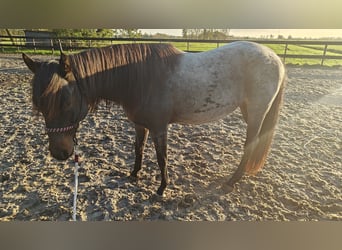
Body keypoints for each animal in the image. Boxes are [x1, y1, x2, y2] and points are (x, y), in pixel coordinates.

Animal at [22, 41, 286, 195]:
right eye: (40, 105)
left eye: (65, 99)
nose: (60, 153)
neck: (141, 76)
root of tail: (276, 59)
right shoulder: (140, 125)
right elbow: (138, 148)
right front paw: (134, 174)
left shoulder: (160, 128)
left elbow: (161, 158)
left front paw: (162, 188)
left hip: (256, 113)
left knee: (251, 146)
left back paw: (232, 181)